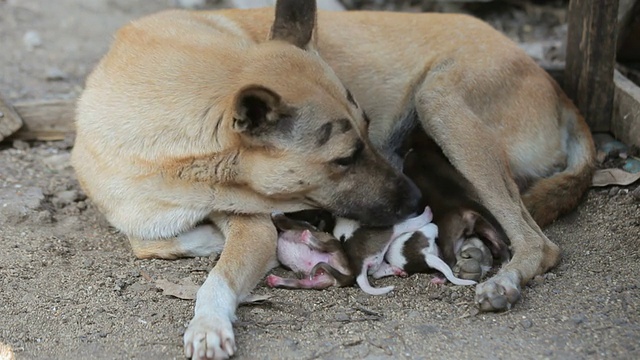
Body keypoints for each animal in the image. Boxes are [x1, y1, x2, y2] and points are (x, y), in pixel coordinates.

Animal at [72, 1, 596, 358]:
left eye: (368, 126)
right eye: (345, 158)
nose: (416, 201)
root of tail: (560, 90)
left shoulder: (251, 227)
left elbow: (216, 277)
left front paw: (208, 324)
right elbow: (152, 240)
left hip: (438, 100)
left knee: (539, 243)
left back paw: (502, 282)